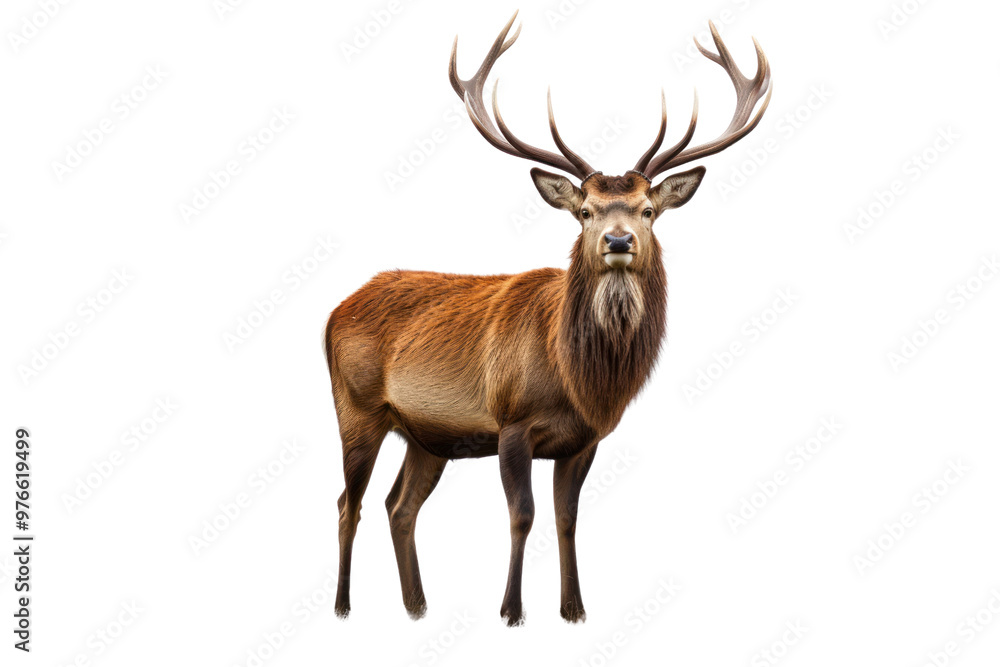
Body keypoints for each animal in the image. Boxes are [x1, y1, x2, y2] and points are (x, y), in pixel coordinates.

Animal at [324, 13, 771, 626]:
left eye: (648, 210)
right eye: (584, 211)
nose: (618, 241)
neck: (577, 378)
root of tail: (333, 311)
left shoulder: (584, 440)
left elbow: (566, 518)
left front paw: (574, 609)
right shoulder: (511, 421)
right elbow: (523, 515)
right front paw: (512, 611)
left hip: (428, 436)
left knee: (399, 505)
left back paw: (417, 607)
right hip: (356, 408)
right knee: (349, 502)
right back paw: (344, 605)